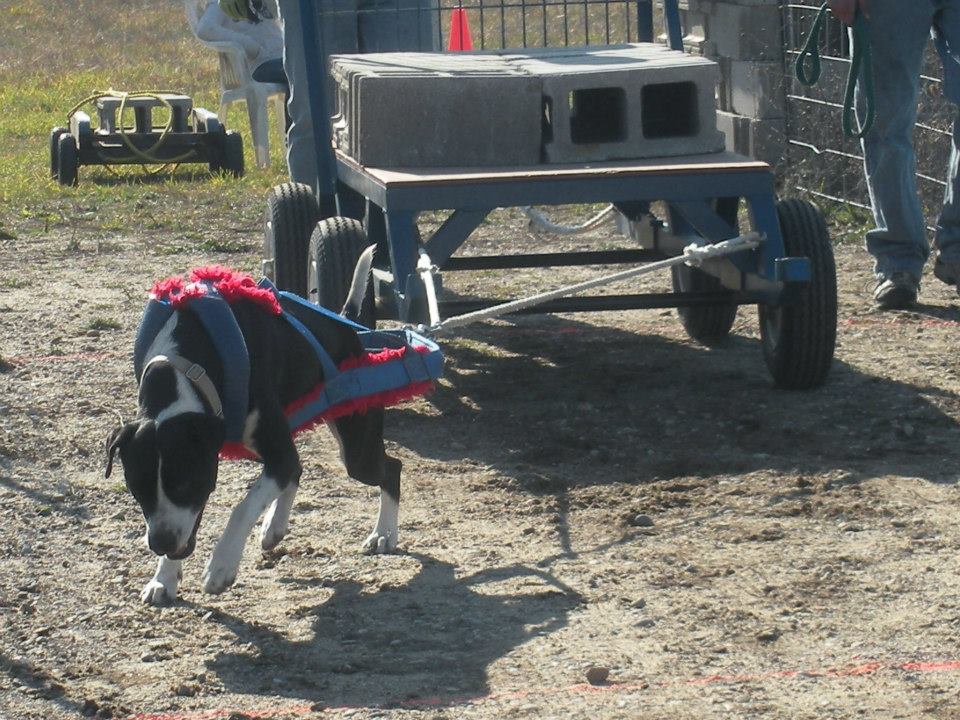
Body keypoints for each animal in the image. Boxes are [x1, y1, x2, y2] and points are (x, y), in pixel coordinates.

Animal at [106, 250, 404, 604]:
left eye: (185, 483)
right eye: (136, 487)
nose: (160, 543)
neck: (184, 367)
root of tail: (343, 325)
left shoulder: (250, 456)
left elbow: (243, 506)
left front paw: (220, 567)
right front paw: (163, 579)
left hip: (357, 445)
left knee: (390, 468)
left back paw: (383, 534)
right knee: (297, 468)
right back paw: (274, 526)